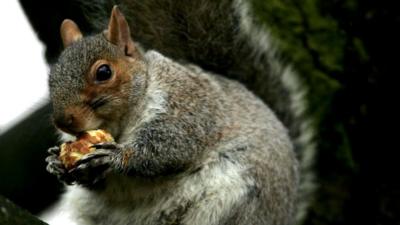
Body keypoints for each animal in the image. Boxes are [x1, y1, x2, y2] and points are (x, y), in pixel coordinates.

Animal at [41, 0, 316, 224]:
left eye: (104, 72)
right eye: (51, 78)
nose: (63, 121)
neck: (120, 123)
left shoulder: (186, 106)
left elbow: (170, 147)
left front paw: (115, 156)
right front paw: (55, 163)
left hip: (238, 202)